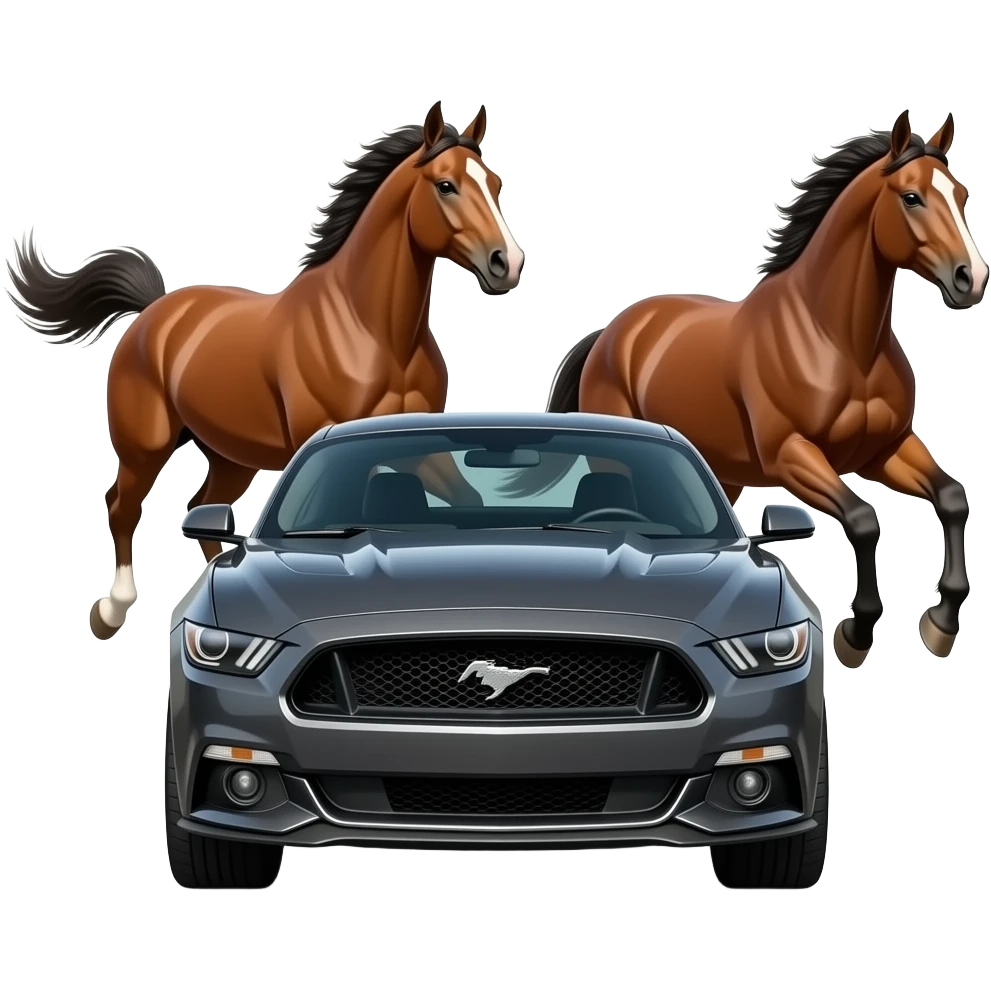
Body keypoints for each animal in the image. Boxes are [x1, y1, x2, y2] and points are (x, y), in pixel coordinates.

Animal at [6, 100, 526, 642]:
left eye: (494, 183)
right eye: (445, 185)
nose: (507, 263)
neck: (372, 330)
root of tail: (155, 311)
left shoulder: (418, 447)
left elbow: (464, 495)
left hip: (232, 457)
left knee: (202, 507)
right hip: (146, 445)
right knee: (121, 505)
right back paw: (110, 613)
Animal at [502, 109, 985, 670]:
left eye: (961, 193)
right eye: (911, 197)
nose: (971, 279)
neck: (837, 340)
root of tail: (614, 332)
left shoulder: (883, 450)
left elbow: (951, 499)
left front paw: (940, 624)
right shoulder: (792, 456)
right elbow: (863, 519)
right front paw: (855, 633)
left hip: (725, 475)